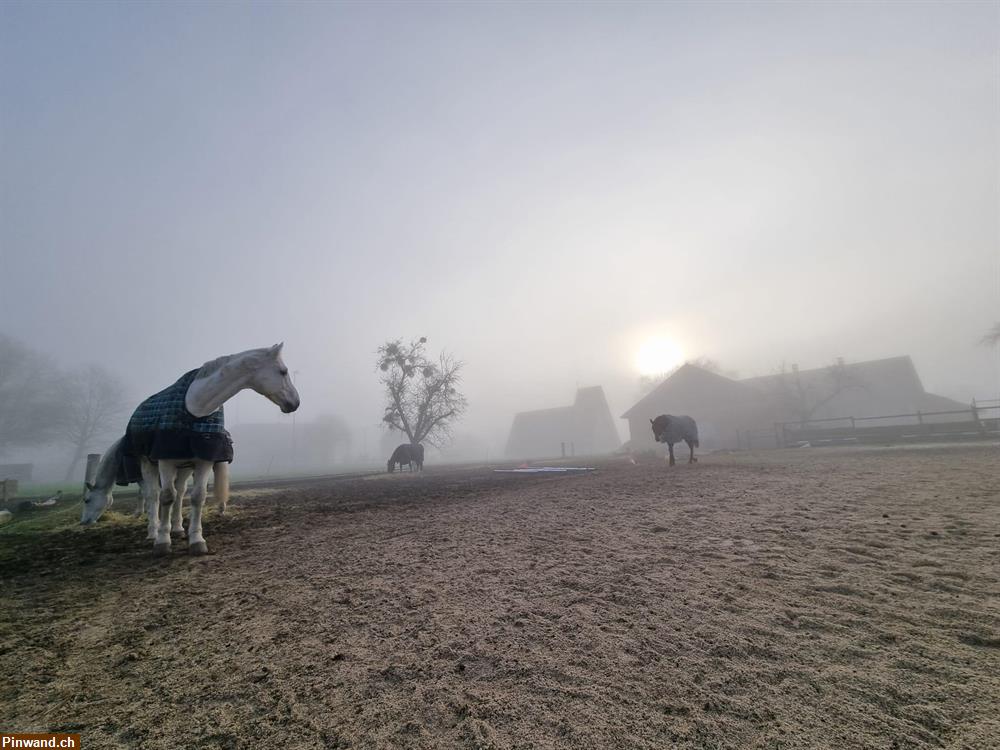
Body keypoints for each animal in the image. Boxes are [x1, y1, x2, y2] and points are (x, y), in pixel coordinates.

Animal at [80, 344, 298, 556]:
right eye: (283, 371)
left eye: (87, 500)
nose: (295, 402)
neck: (197, 407)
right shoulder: (165, 461)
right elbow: (166, 497)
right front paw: (162, 541)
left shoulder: (204, 460)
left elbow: (196, 497)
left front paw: (196, 540)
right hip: (147, 463)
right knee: (154, 495)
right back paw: (153, 532)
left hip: (184, 467)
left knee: (179, 493)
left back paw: (176, 528)